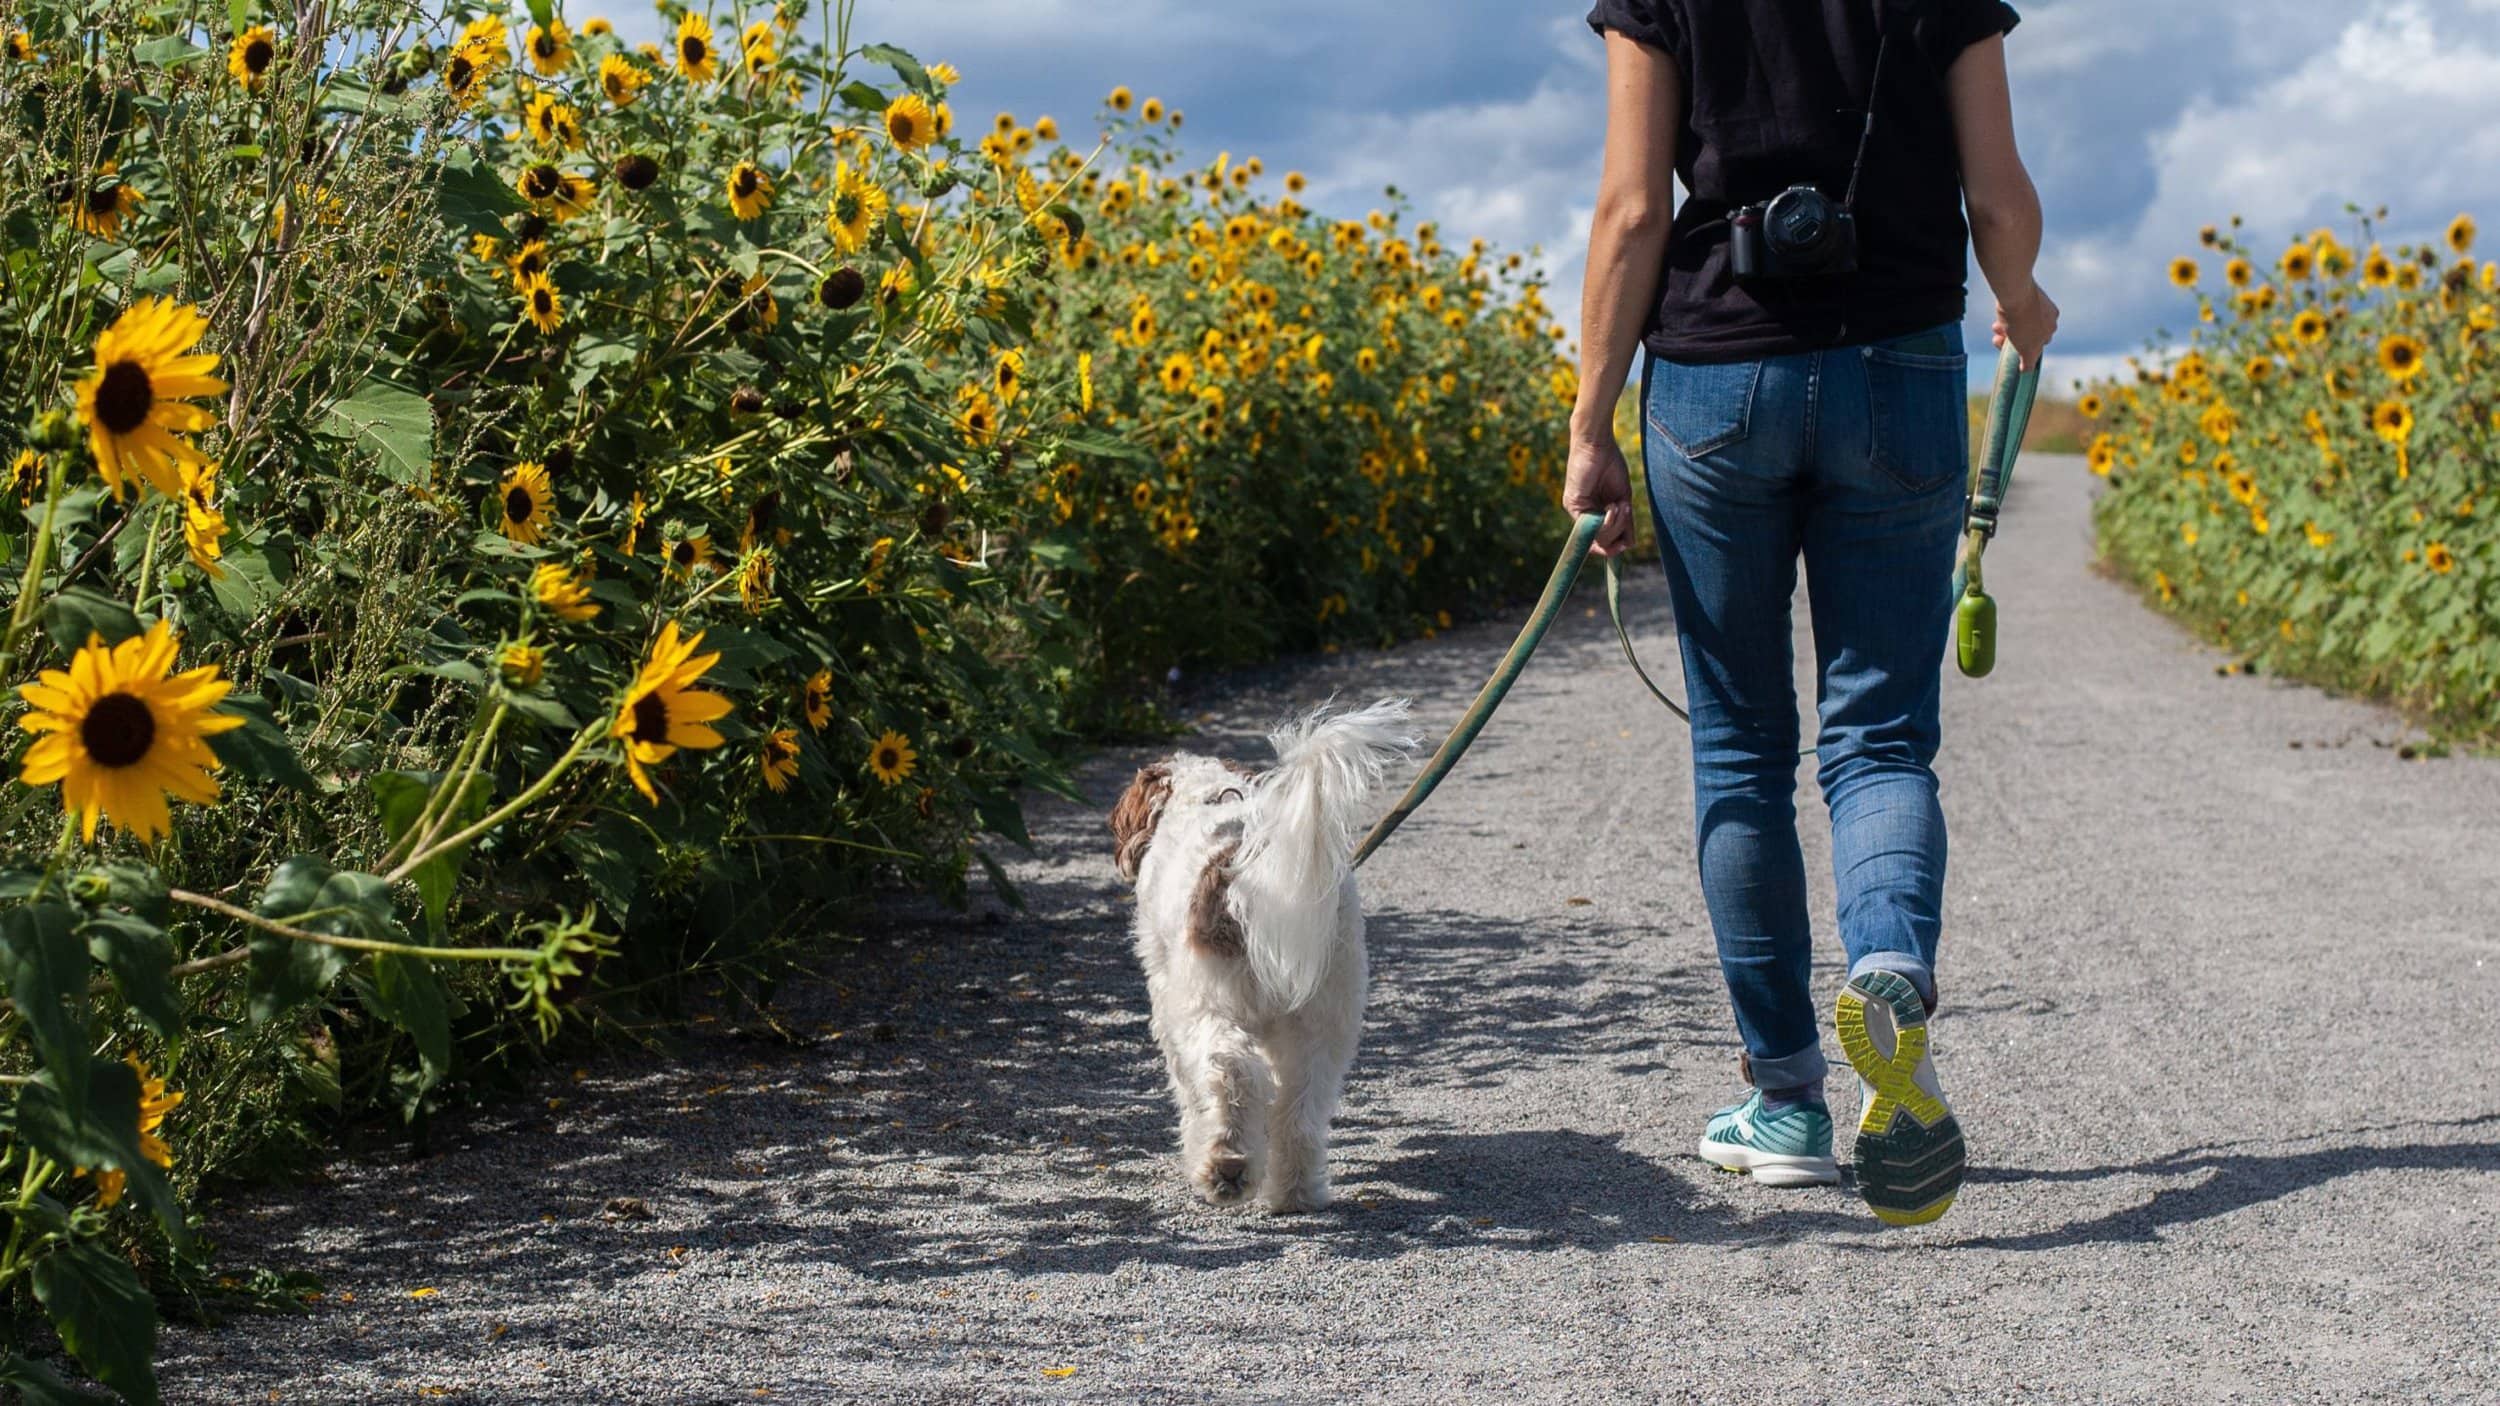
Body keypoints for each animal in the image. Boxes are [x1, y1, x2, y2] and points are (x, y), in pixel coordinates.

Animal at [1105, 695, 1420, 1210]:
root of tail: (1247, 868)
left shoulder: (1169, 1006)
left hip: (1209, 1006)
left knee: (1231, 1071)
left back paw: (1226, 1165)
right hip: (1325, 1019)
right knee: (1300, 1111)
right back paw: (1294, 1192)